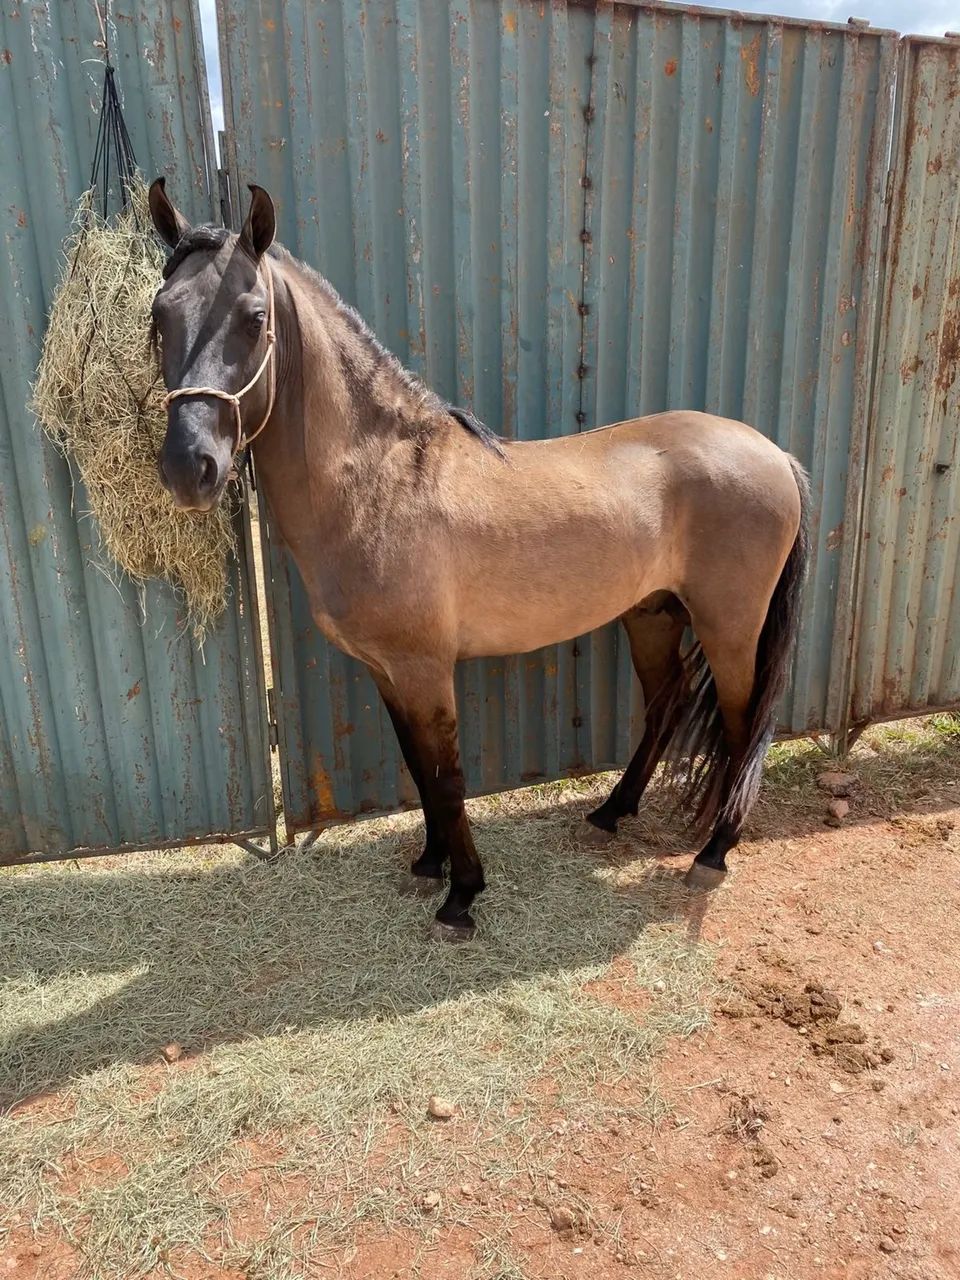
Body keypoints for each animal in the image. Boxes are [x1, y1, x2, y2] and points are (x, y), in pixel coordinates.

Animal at [148, 179, 809, 942]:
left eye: (254, 318)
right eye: (158, 316)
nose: (189, 467)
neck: (380, 481)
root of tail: (773, 452)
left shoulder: (427, 669)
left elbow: (448, 774)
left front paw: (462, 894)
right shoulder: (387, 671)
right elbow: (418, 769)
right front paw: (429, 863)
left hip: (729, 625)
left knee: (742, 720)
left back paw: (714, 851)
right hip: (652, 614)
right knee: (666, 702)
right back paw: (612, 811)